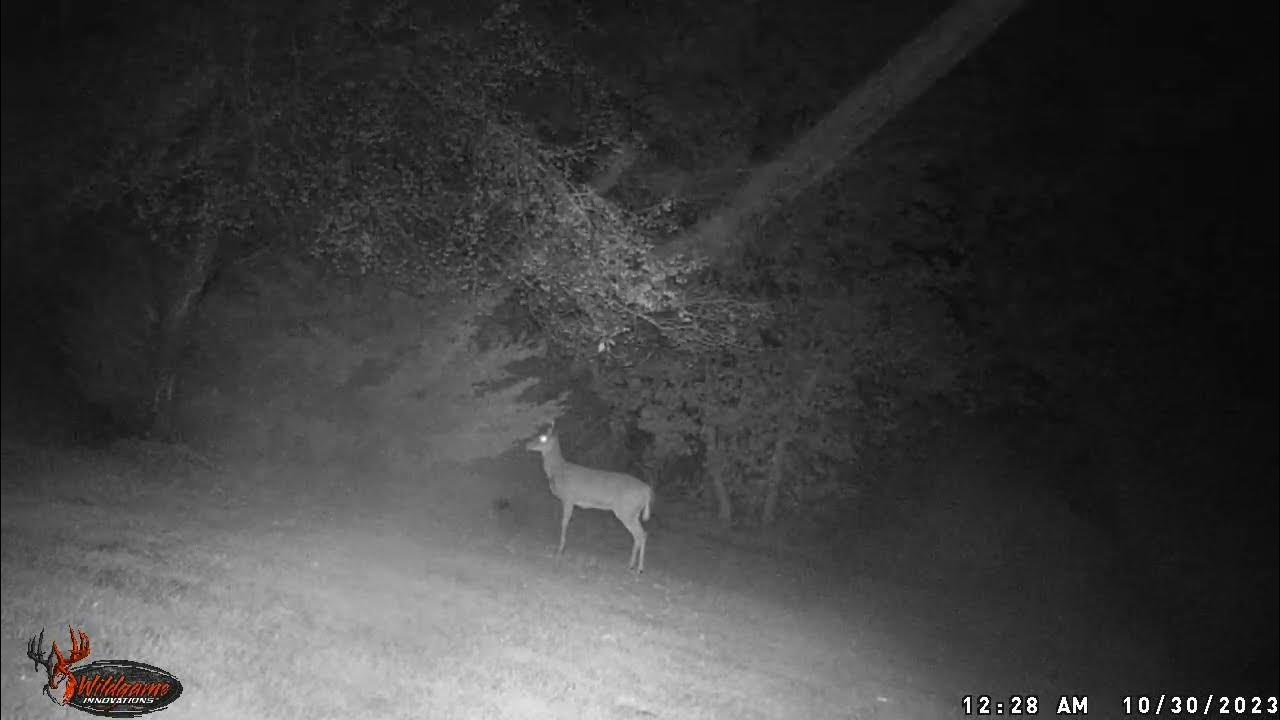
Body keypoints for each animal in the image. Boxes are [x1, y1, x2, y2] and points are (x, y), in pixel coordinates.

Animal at [526, 424, 653, 573]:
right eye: (536, 433)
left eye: (543, 437)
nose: (527, 445)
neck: (559, 470)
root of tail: (647, 490)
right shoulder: (570, 500)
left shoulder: (569, 498)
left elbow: (564, 522)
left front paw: (560, 550)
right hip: (634, 512)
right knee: (639, 535)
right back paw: (631, 565)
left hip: (627, 510)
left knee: (641, 535)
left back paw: (639, 568)